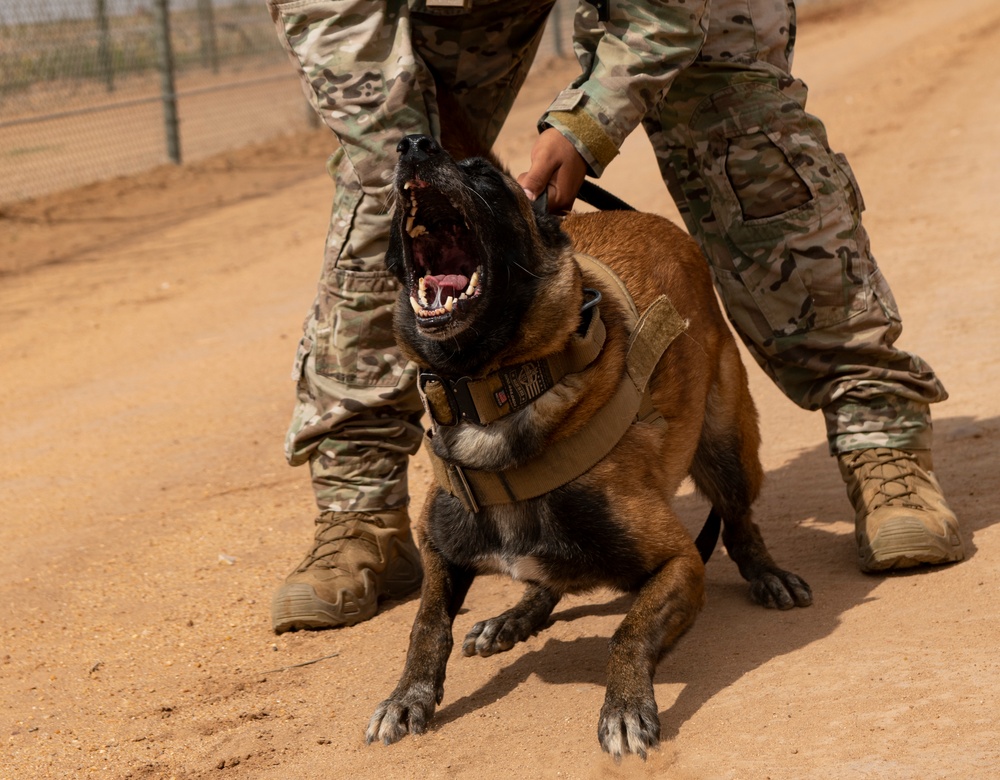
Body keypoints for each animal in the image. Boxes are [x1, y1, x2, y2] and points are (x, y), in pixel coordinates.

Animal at [368, 133, 812, 756]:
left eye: (483, 174)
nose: (413, 143)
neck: (497, 393)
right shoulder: (438, 545)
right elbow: (426, 624)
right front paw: (407, 696)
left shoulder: (677, 562)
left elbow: (627, 632)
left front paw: (625, 706)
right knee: (545, 580)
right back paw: (515, 617)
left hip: (728, 448)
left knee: (739, 520)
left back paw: (767, 573)